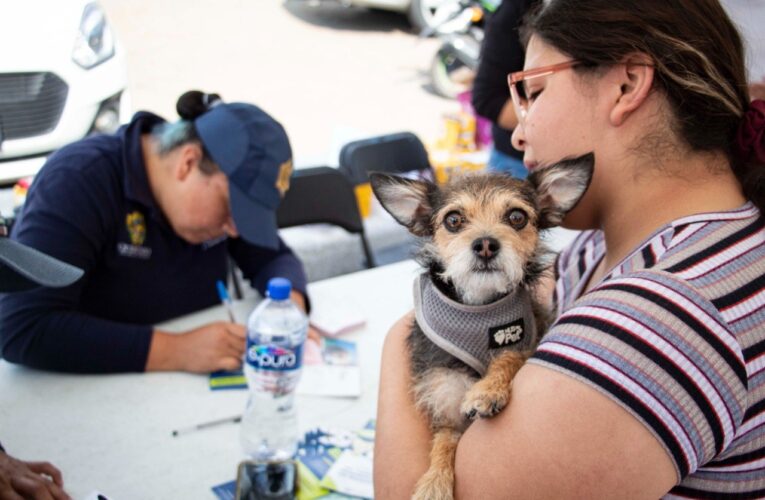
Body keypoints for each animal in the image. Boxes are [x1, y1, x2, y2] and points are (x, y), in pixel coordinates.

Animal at [368, 154, 592, 498]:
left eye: (516, 217)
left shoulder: (532, 334)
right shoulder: (444, 397)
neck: (480, 306)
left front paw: (487, 390)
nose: (485, 244)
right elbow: (445, 440)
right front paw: (434, 482)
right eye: (454, 220)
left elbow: (512, 354)